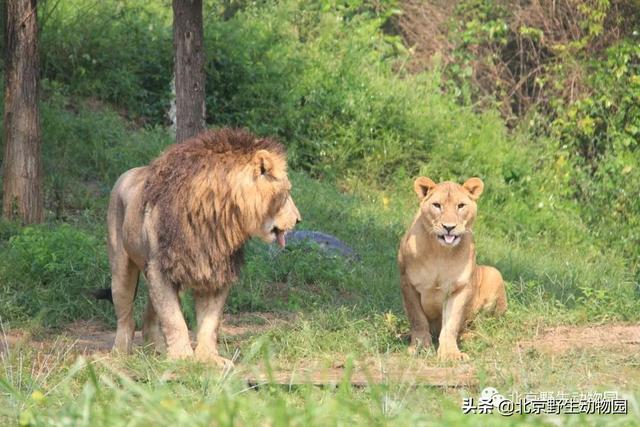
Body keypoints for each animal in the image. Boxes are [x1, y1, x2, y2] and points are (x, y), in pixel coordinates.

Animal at [107, 129, 300, 366]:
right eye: (286, 192)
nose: (298, 219)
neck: (218, 217)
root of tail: (127, 173)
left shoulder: (216, 270)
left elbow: (210, 321)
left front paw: (209, 358)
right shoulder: (160, 268)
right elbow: (173, 319)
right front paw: (182, 358)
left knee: (150, 314)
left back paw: (158, 351)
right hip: (122, 266)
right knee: (125, 315)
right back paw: (120, 353)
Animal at [396, 177, 504, 362]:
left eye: (460, 206)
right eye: (437, 205)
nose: (449, 227)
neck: (441, 252)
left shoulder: (459, 288)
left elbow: (451, 324)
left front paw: (450, 353)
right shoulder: (407, 283)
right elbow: (417, 319)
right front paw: (419, 347)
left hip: (494, 273)